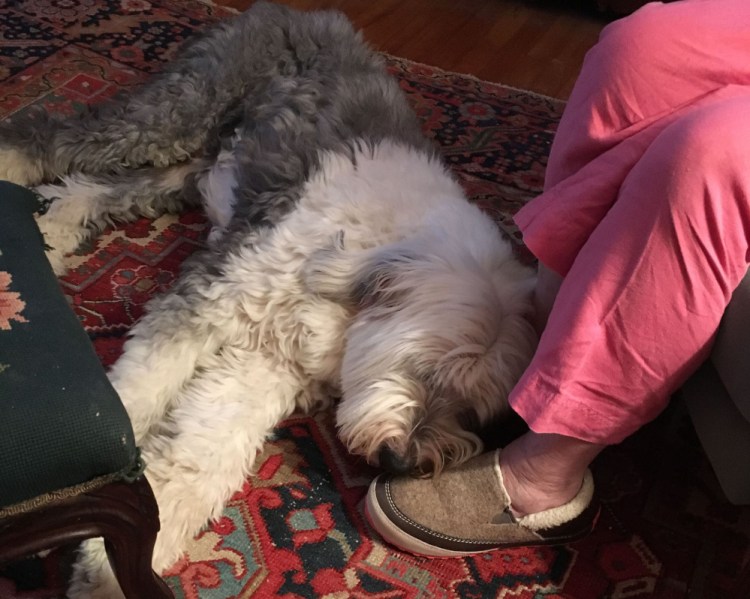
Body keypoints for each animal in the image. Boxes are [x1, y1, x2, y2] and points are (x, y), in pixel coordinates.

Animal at [1, 2, 540, 596]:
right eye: (423, 368)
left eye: (474, 412)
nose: (400, 458)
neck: (355, 271)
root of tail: (298, 12)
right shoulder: (217, 295)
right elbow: (136, 392)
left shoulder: (266, 363)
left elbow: (203, 452)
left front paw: (110, 570)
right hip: (178, 113)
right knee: (52, 134)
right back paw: (12, 169)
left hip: (192, 169)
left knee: (98, 187)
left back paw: (52, 233)